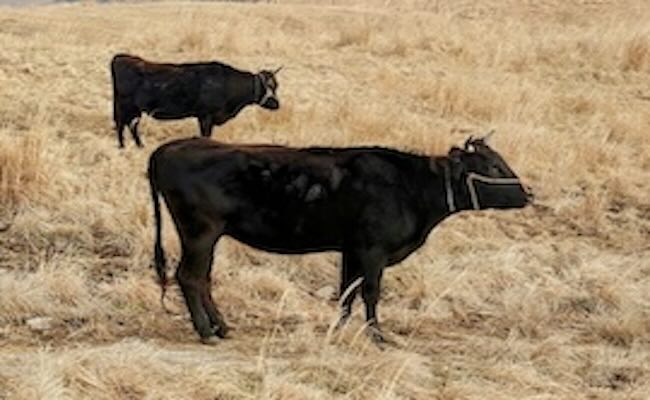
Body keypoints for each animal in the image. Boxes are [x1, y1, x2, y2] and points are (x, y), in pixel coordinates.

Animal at [109, 52, 280, 148]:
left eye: (276, 85)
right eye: (267, 86)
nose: (277, 104)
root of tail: (121, 57)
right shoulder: (206, 116)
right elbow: (206, 135)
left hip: (132, 108)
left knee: (130, 125)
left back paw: (138, 146)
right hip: (125, 105)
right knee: (122, 124)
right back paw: (123, 146)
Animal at [147, 136, 532, 346]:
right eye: (493, 166)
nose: (528, 193)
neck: (410, 186)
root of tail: (169, 148)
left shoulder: (351, 249)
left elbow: (347, 291)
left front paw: (340, 329)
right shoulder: (373, 250)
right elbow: (370, 292)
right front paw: (376, 335)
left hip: (208, 236)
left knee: (203, 279)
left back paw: (222, 327)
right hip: (200, 232)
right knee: (190, 277)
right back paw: (206, 331)